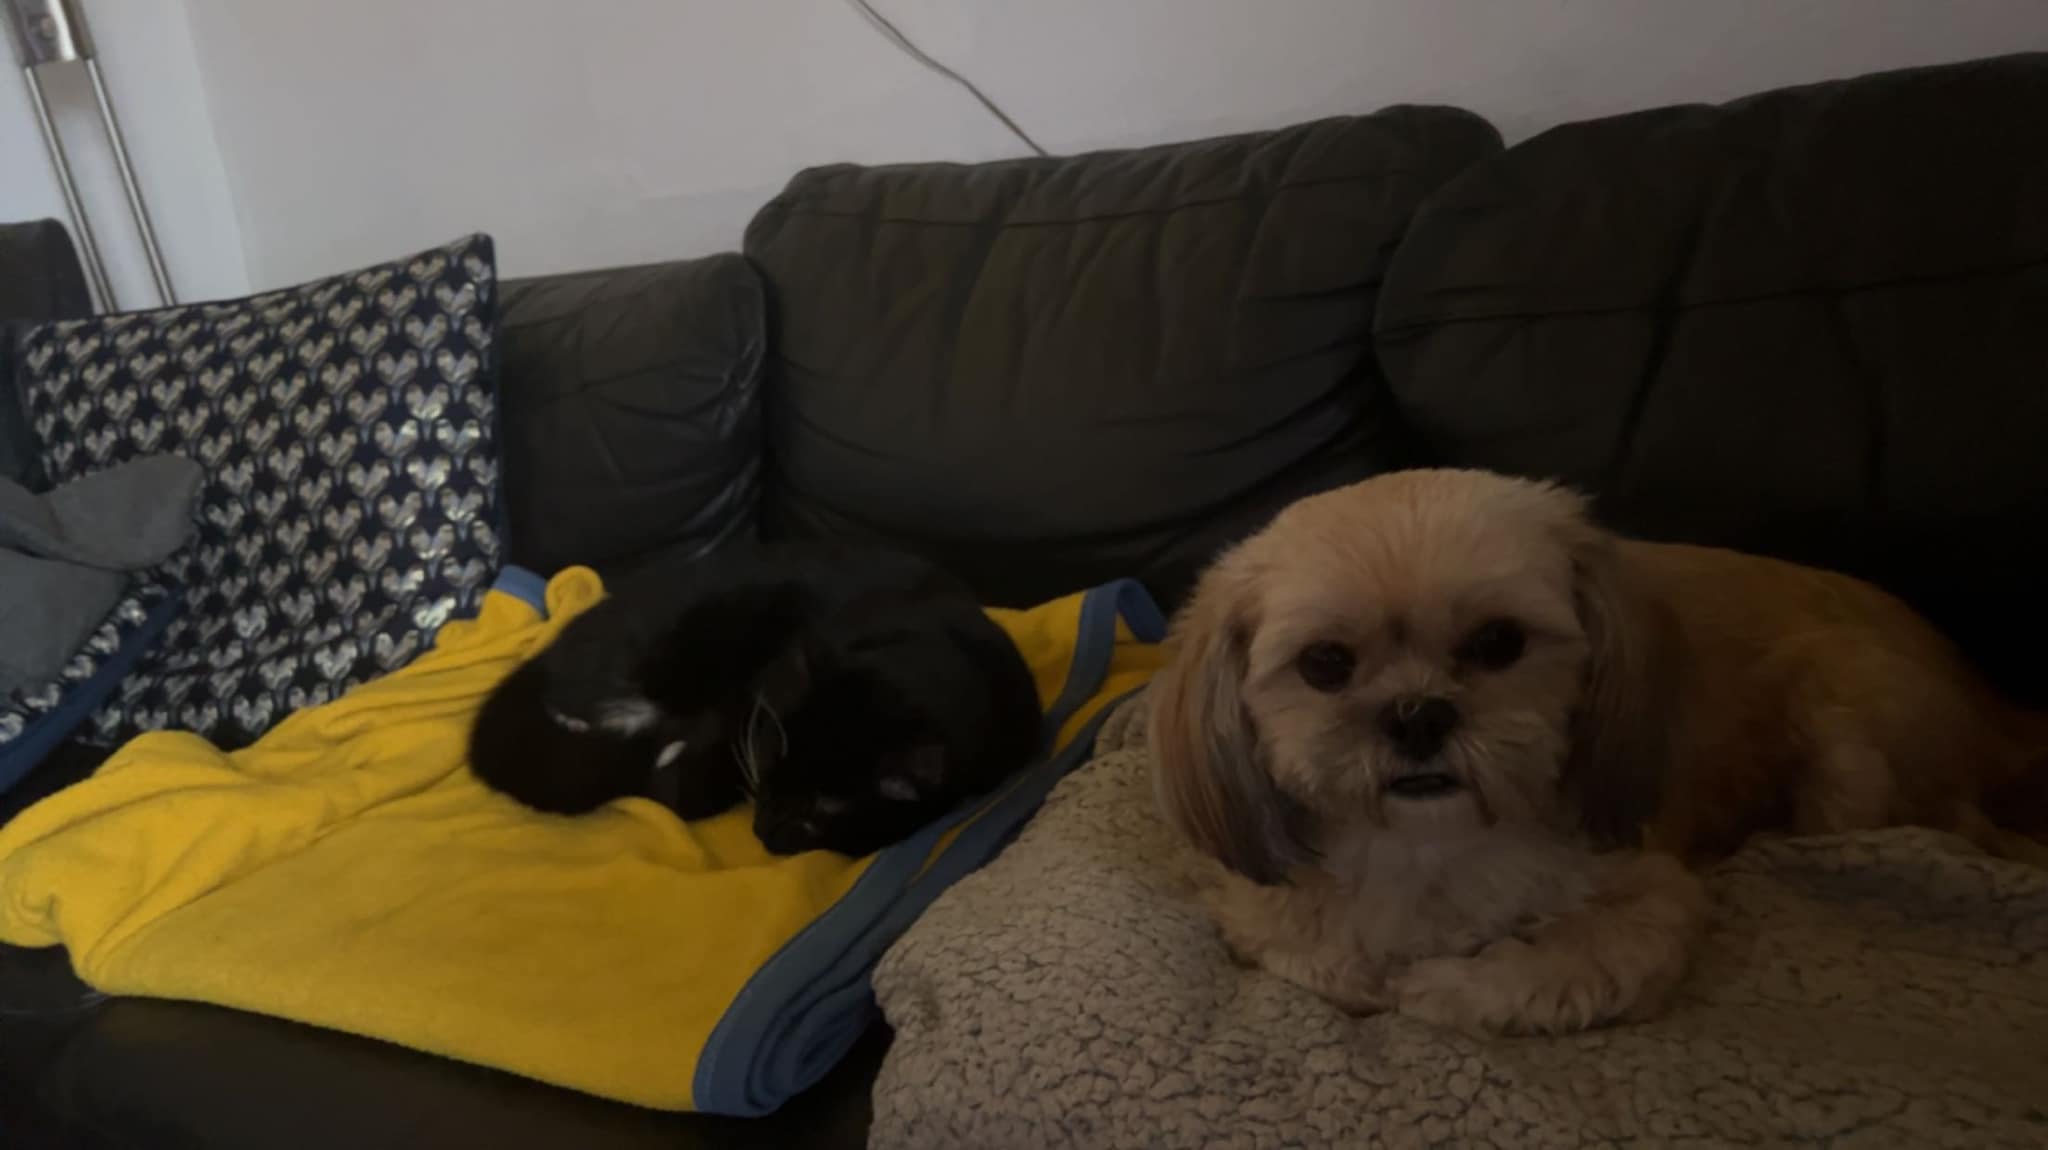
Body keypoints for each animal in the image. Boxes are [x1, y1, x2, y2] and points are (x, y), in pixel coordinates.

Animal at [1148, 468, 2048, 1035]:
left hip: (1847, 748)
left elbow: (1558, 966)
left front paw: (1445, 985)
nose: (1416, 715)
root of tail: (1994, 703)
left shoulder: (1653, 901)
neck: (1432, 847)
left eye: (1500, 642)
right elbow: (1327, 952)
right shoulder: (1251, 903)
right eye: (1325, 664)